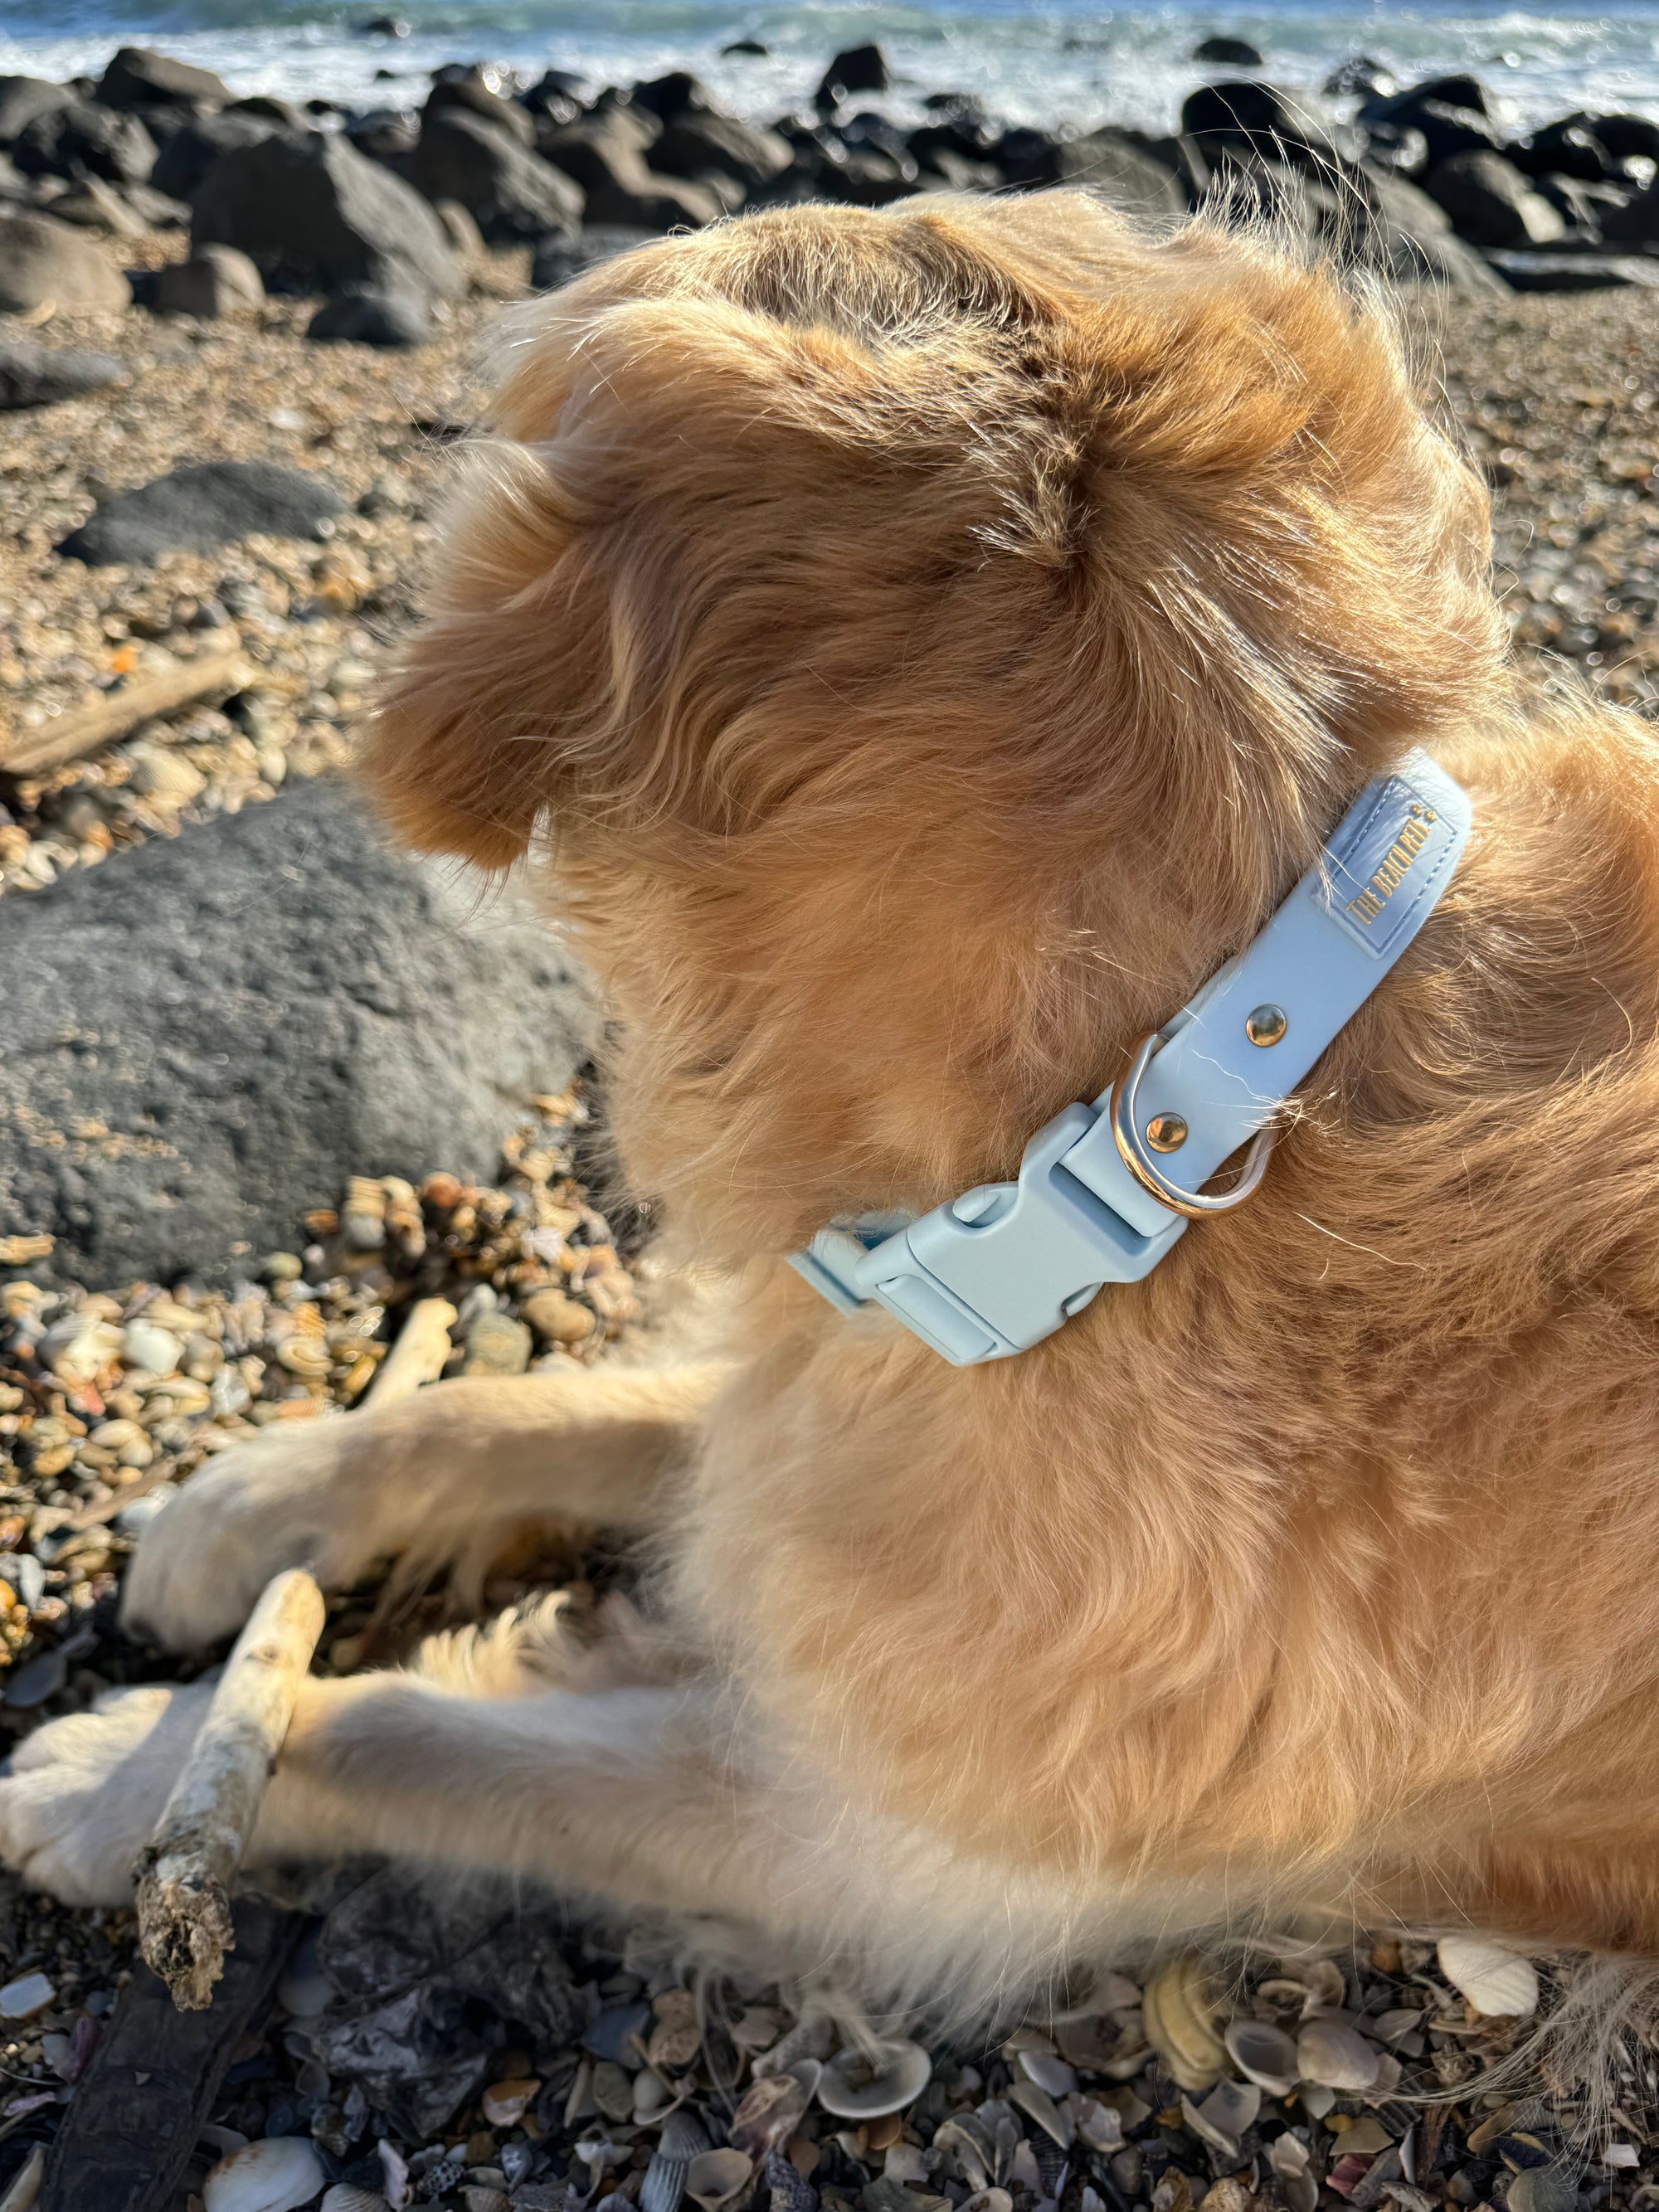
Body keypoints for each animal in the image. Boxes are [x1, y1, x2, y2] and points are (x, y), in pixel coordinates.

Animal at [2, 194, 1659, 2025]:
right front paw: (251, 1496)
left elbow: (408, 1727)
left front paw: (137, 1772)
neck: (1173, 1118)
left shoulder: (882, 1848)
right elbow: (529, 1406)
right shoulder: (847, 1396)